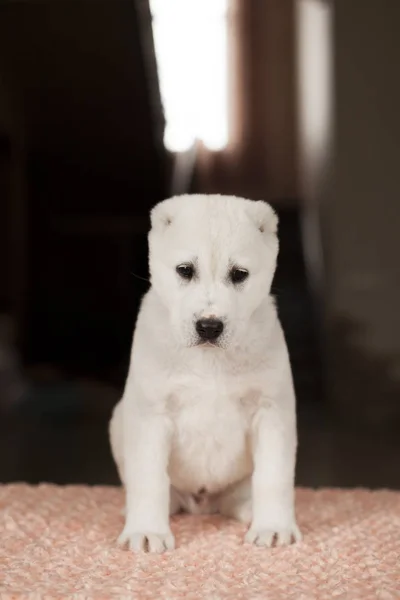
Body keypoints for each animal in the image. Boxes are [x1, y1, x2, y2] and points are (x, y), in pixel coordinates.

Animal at [108, 195, 300, 552]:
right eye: (185, 270)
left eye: (239, 274)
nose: (209, 326)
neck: (209, 360)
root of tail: (203, 504)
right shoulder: (151, 414)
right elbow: (149, 478)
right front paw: (147, 532)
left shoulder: (271, 412)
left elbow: (274, 476)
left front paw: (273, 527)